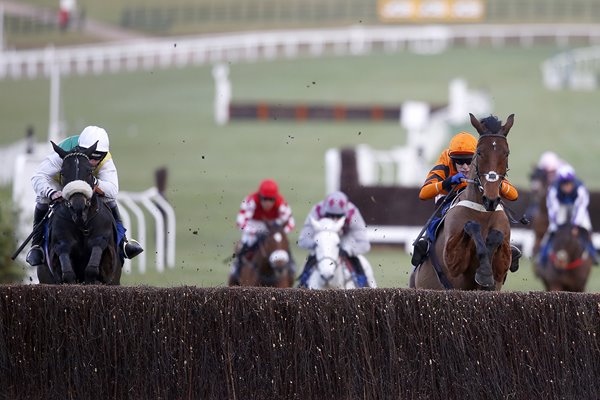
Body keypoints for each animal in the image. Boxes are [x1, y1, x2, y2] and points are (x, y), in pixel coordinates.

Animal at [37, 141, 122, 284]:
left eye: (89, 171)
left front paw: (92, 280)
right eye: (63, 172)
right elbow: (67, 272)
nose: (78, 205)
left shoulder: (103, 240)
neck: (82, 224)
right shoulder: (61, 243)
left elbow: (93, 266)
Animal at [412, 112, 516, 290]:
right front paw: (484, 272)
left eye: (506, 153)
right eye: (479, 152)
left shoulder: (502, 264)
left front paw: (484, 273)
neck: (483, 211)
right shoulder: (451, 261)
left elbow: (497, 236)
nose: (490, 199)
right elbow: (471, 226)